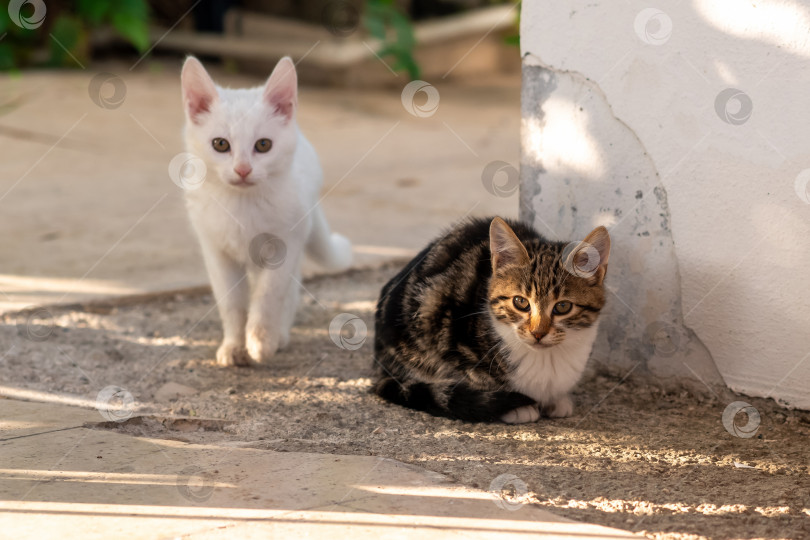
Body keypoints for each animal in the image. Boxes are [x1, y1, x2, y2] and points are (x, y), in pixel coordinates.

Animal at [180, 56, 350, 368]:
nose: (243, 169)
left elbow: (269, 296)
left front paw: (260, 341)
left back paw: (279, 335)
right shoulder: (216, 251)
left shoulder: (287, 245)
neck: (242, 206)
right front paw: (234, 345)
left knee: (289, 292)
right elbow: (231, 303)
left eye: (263, 145)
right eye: (220, 144)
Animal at [370, 217, 608, 424]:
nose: (538, 333)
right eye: (520, 302)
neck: (546, 358)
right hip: (423, 310)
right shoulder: (452, 337)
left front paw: (556, 400)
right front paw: (517, 407)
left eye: (563, 306)